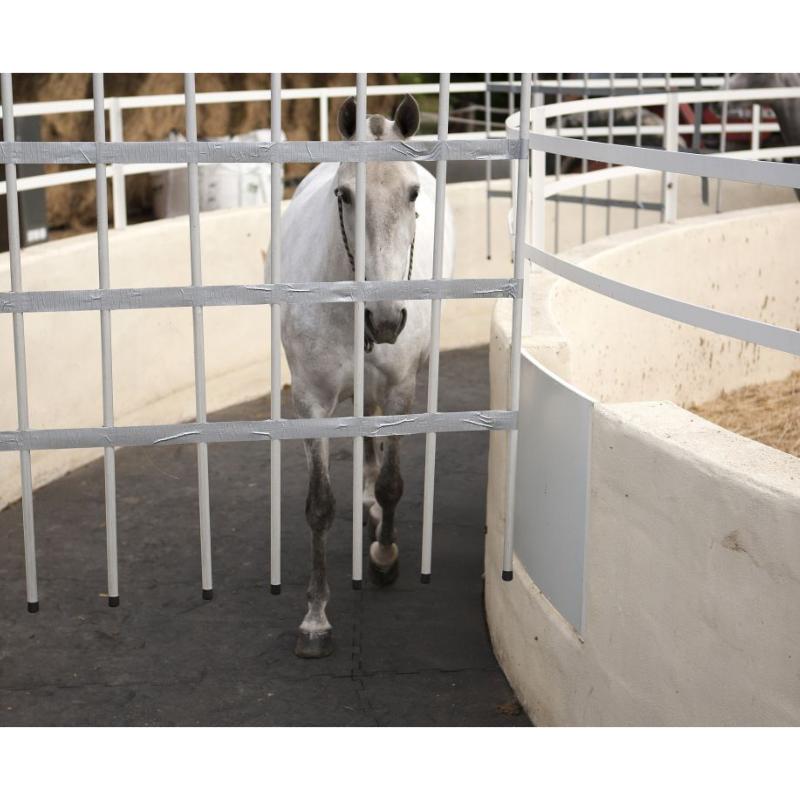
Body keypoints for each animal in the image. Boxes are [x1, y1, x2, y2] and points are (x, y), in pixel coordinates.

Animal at [277, 94, 455, 658]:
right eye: (345, 195)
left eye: (412, 192)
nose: (386, 318)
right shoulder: (311, 400)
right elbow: (319, 506)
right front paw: (315, 617)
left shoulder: (399, 389)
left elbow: (394, 484)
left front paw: (384, 557)